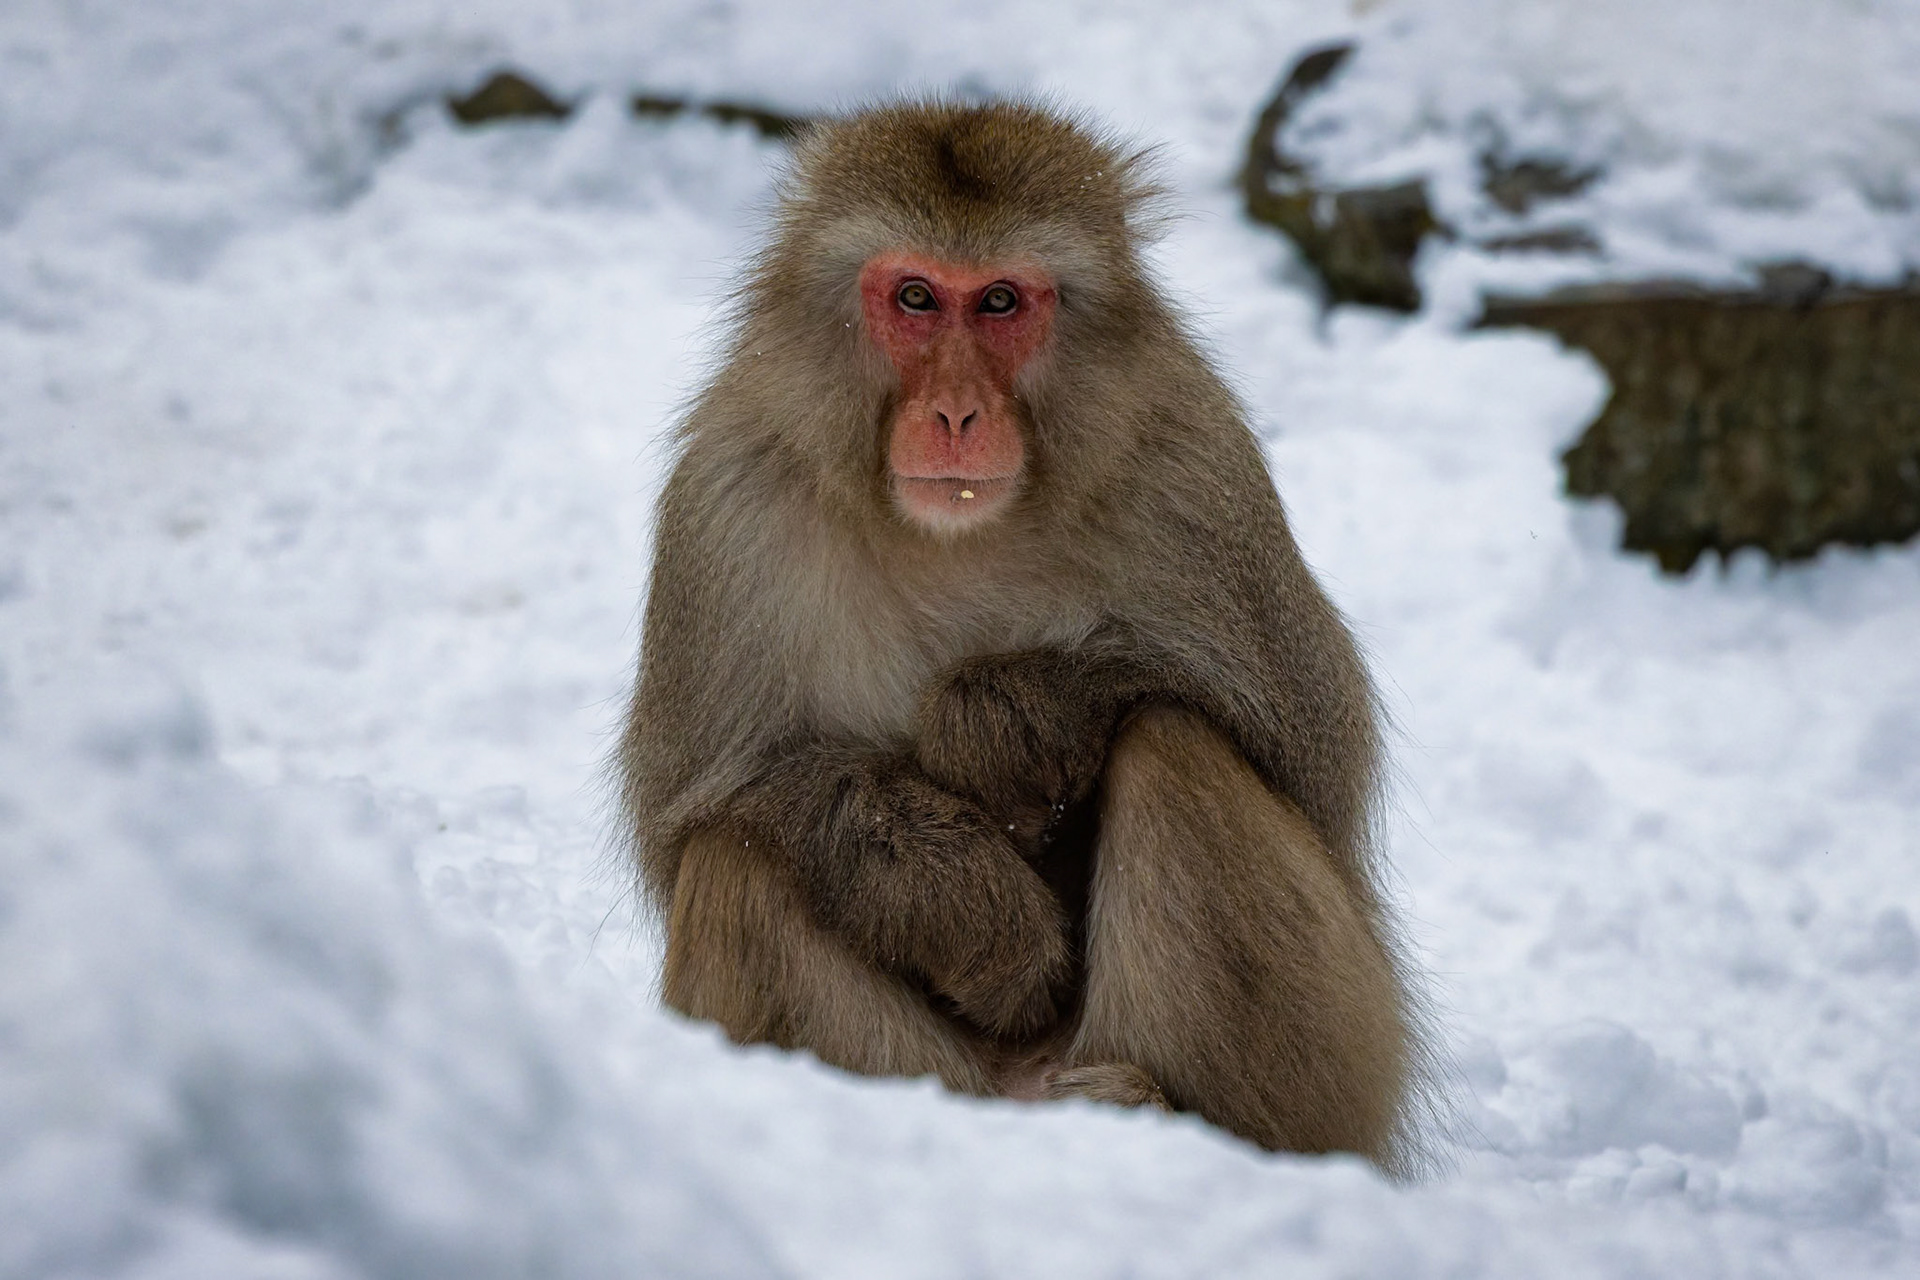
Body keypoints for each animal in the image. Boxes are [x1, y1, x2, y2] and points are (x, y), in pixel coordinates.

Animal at [615, 99, 1430, 1172]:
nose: (956, 413)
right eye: (917, 297)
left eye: (1000, 301)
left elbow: (1310, 751)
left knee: (1170, 743)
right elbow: (693, 811)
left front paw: (1001, 717)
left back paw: (1164, 1117)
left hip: (1340, 1075)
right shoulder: (725, 503)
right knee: (736, 859)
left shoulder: (1196, 470)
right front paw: (971, 907)